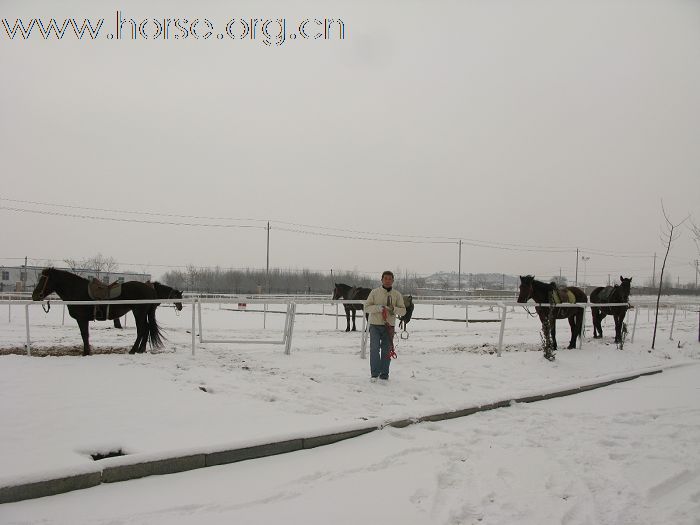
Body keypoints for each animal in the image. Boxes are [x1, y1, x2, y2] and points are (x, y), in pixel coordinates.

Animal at [32, 266, 165, 356]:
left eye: (43, 280)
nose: (35, 296)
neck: (77, 290)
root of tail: (150, 289)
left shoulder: (82, 319)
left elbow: (84, 335)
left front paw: (86, 352)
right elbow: (85, 335)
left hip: (139, 313)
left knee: (142, 330)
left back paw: (133, 350)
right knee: (146, 329)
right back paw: (141, 350)